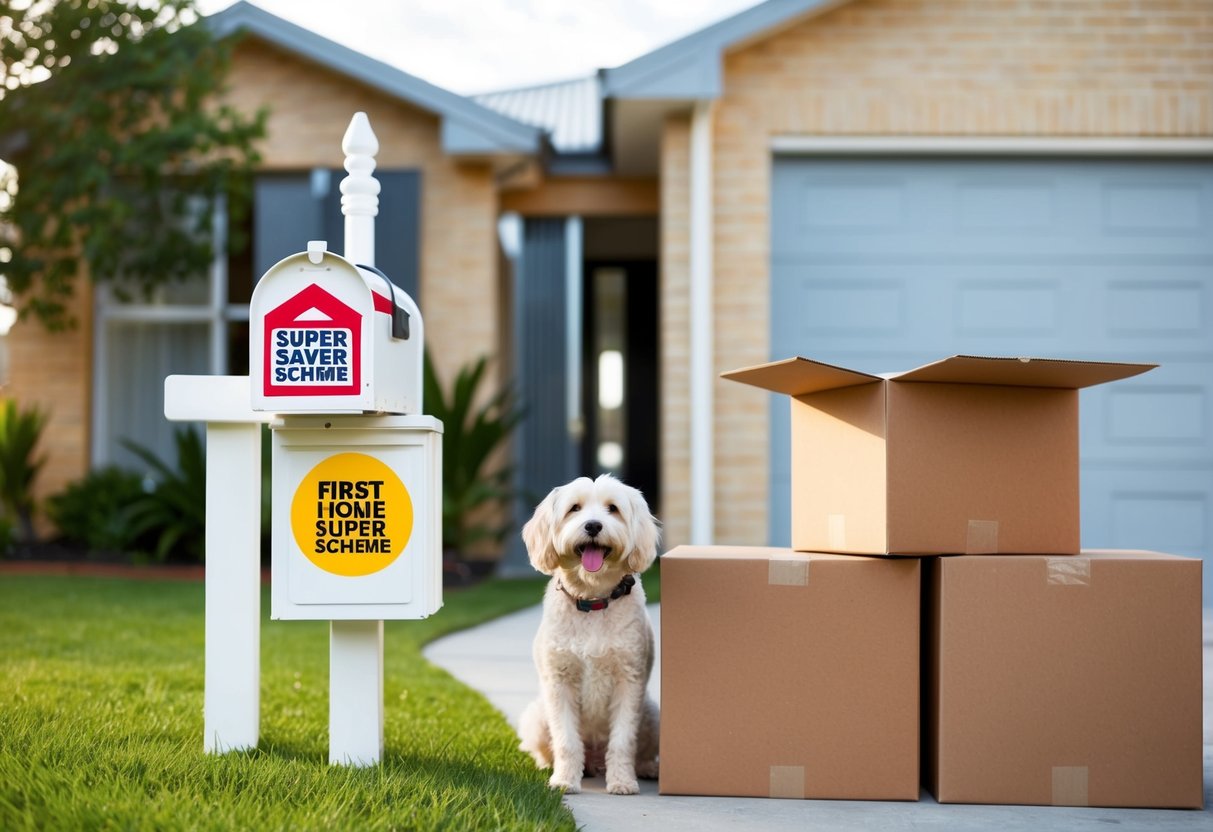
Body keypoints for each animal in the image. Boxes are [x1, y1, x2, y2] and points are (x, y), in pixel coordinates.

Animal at [514, 475, 659, 795]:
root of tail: (594, 761)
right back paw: (549, 766)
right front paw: (565, 780)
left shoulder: (628, 681)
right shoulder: (560, 682)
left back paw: (645, 768)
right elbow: (566, 740)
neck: (593, 600)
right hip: (537, 716)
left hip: (652, 715)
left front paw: (622, 781)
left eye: (613, 508)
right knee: (547, 747)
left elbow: (623, 741)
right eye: (575, 508)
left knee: (641, 750)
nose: (593, 525)